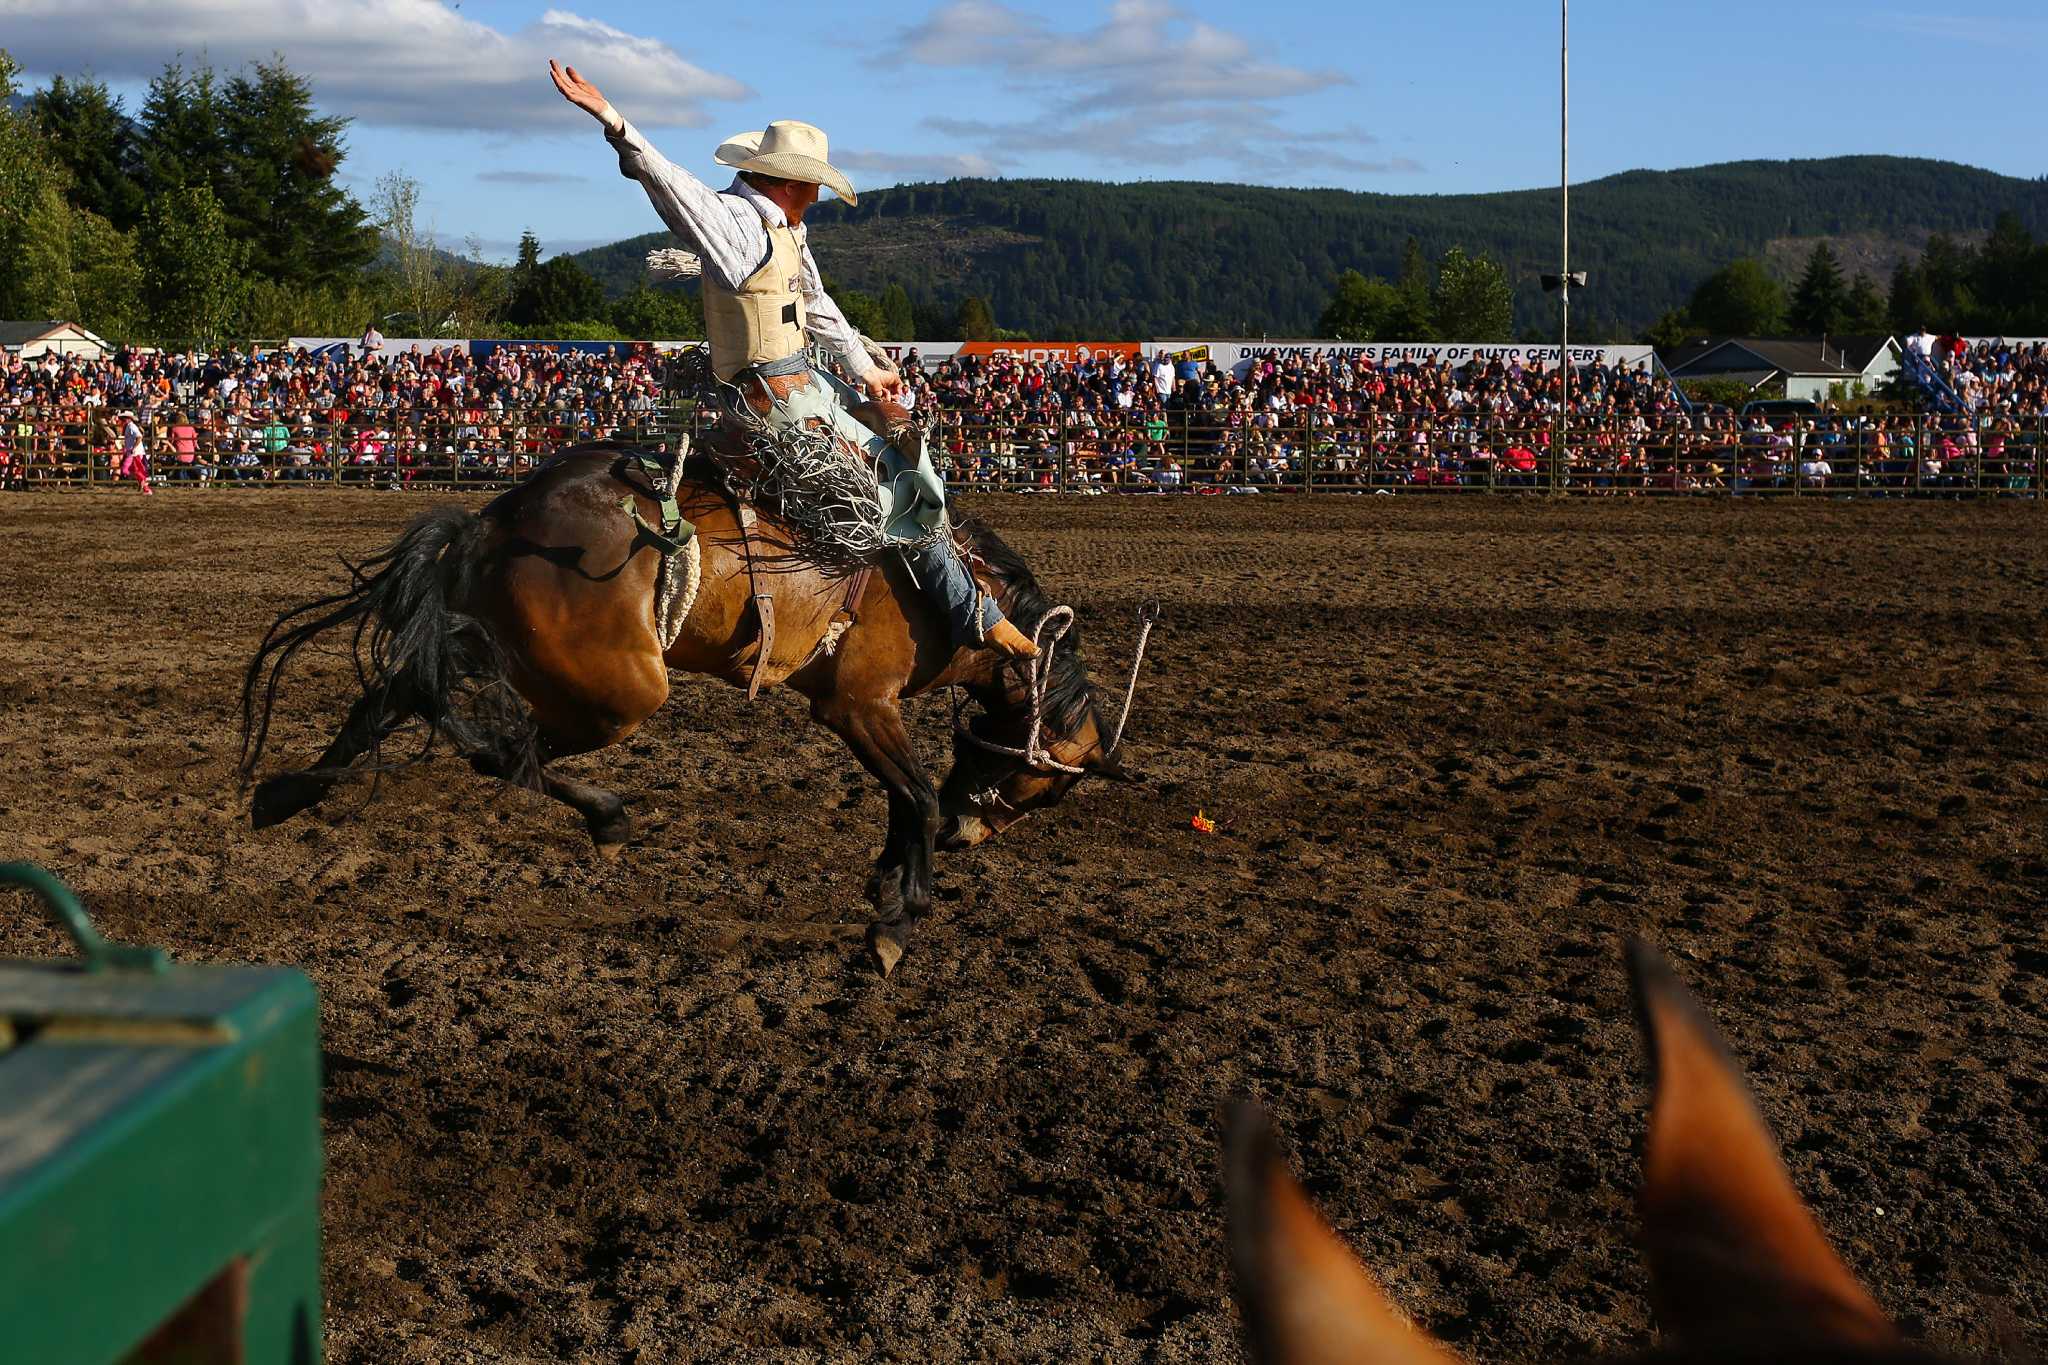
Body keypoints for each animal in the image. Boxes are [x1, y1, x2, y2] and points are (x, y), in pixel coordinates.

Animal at [235, 421, 1155, 978]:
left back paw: (283, 794)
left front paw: (889, 885)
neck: (953, 592)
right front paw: (899, 923)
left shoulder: (867, 712)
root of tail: (492, 524)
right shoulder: (857, 705)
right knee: (503, 748)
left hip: (508, 645)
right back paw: (608, 816)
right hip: (620, 691)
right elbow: (919, 794)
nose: (974, 835)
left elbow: (904, 801)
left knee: (406, 698)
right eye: (1047, 786)